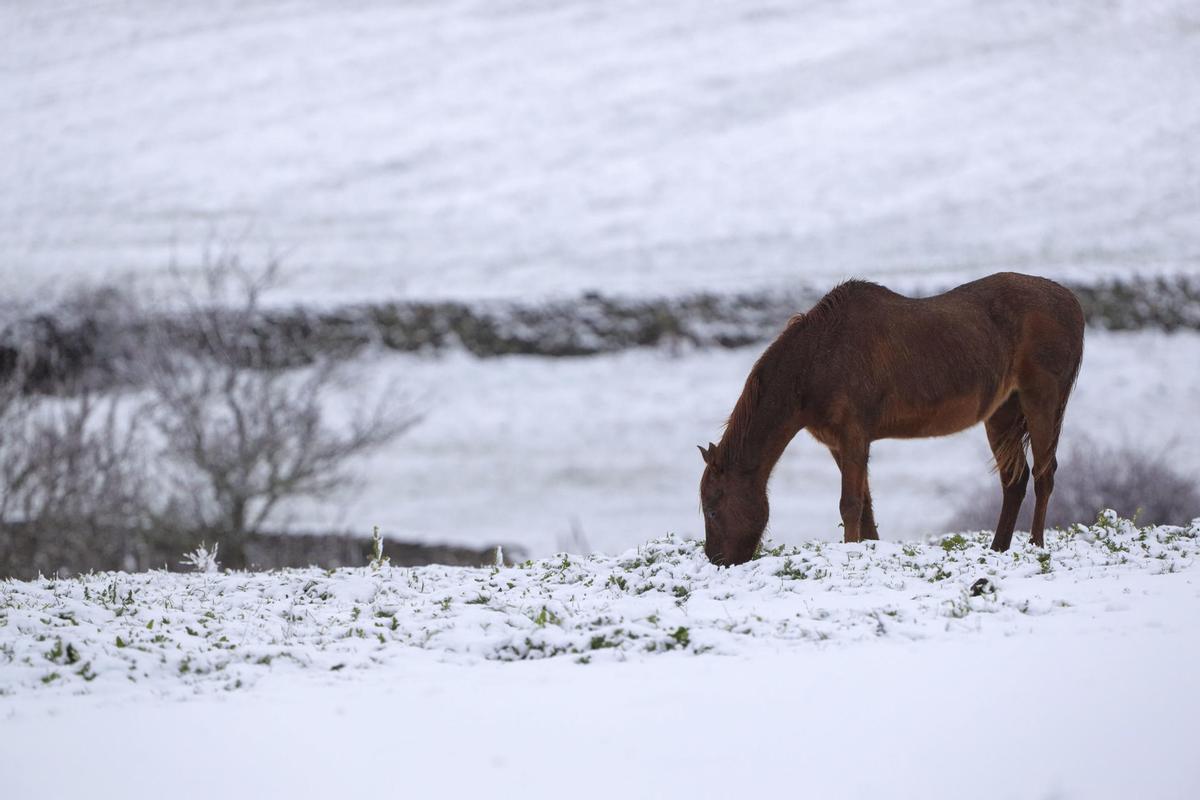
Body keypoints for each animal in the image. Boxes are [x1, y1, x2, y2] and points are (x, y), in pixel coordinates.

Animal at [700, 272, 1084, 566]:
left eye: (713, 509)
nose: (717, 559)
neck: (819, 359)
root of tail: (1071, 302)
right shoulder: (840, 444)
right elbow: (866, 508)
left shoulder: (854, 435)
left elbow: (850, 505)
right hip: (1002, 414)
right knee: (1014, 481)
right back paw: (998, 550)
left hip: (1042, 401)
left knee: (1044, 474)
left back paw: (1035, 546)